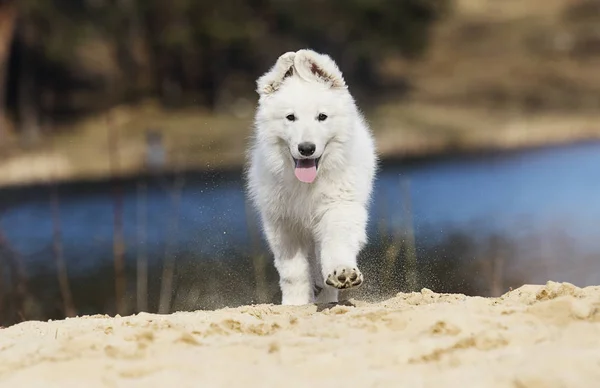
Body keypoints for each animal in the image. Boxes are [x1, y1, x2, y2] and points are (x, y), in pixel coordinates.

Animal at [244, 48, 376, 304]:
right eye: (290, 117)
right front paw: (295, 303)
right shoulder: (283, 224)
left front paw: (342, 272)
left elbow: (336, 244)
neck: (307, 184)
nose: (306, 148)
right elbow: (293, 271)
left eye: (322, 117)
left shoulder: (339, 208)